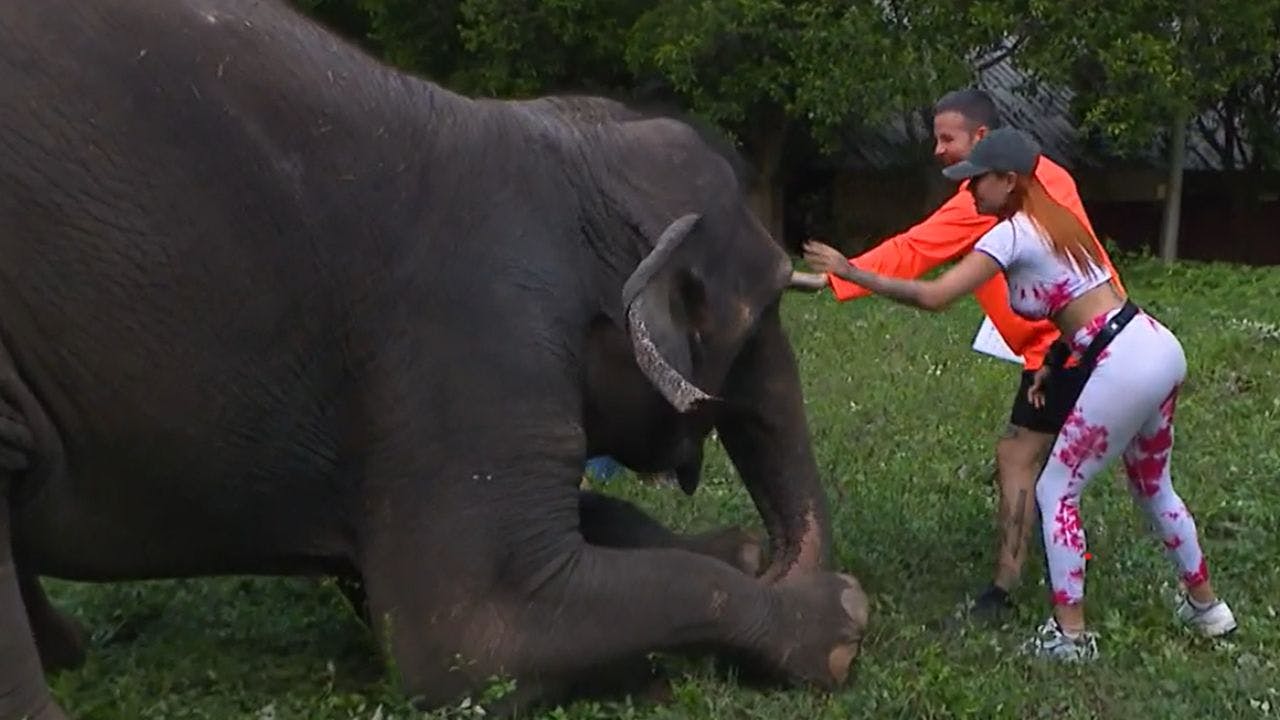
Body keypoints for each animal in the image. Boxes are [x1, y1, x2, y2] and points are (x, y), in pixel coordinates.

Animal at [0, 1, 869, 718]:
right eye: (758, 320)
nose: (784, 560)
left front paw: (735, 553)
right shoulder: (473, 351)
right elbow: (468, 637)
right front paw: (836, 622)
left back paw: (72, 650)